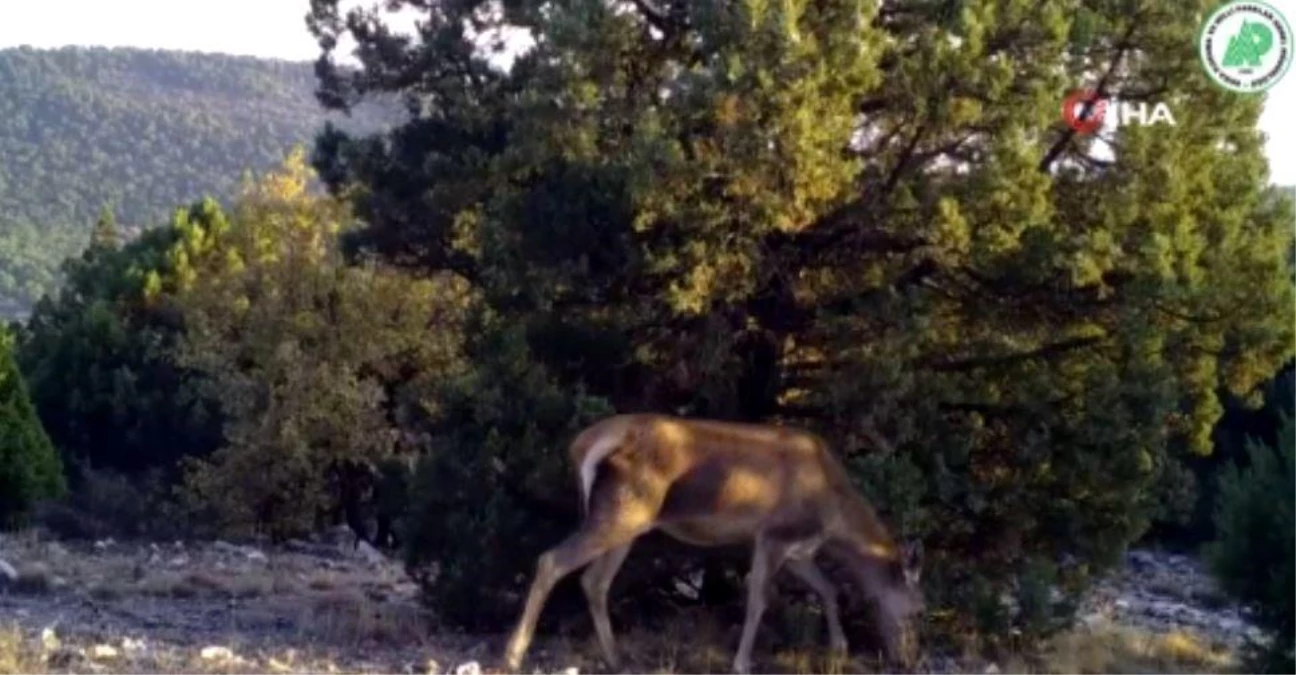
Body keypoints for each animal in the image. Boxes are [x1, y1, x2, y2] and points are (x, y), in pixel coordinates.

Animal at [500, 409, 927, 673]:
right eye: (918, 610)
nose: (910, 659)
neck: (836, 518)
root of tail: (584, 445)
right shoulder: (774, 535)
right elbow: (758, 601)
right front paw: (741, 663)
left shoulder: (798, 550)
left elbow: (829, 589)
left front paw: (839, 650)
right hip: (621, 510)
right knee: (551, 561)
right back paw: (513, 655)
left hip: (629, 523)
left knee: (594, 581)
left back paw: (616, 658)